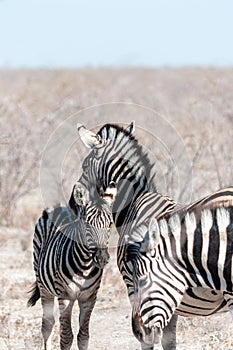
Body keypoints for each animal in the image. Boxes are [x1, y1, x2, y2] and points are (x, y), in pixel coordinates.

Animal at [27, 183, 116, 350]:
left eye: (110, 224)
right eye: (87, 223)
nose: (101, 258)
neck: (84, 266)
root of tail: (59, 206)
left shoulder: (89, 298)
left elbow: (83, 336)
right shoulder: (65, 296)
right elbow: (66, 337)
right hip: (44, 287)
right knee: (47, 325)